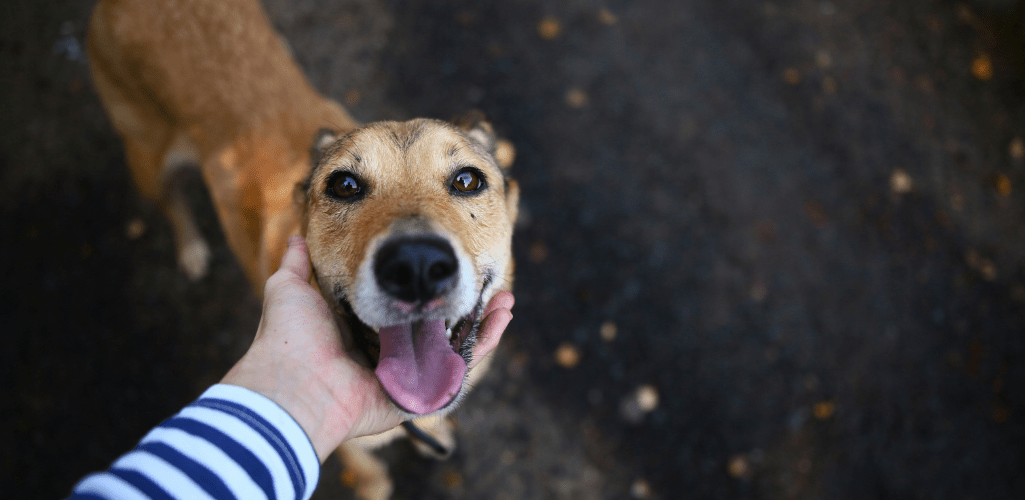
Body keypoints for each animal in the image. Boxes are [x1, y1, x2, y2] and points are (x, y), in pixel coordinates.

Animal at [86, 1, 520, 497]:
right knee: (172, 202)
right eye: (344, 185)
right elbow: (371, 476)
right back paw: (191, 247)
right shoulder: (347, 447)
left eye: (467, 180)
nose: (416, 266)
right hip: (146, 158)